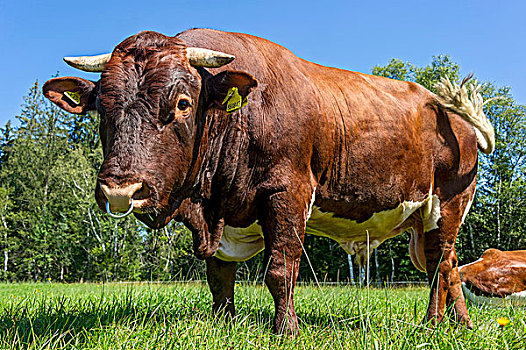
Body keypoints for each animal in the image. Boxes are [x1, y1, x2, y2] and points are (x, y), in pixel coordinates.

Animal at [43, 28, 498, 332]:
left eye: (183, 103)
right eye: (101, 107)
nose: (120, 190)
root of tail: (450, 114)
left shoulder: (287, 193)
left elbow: (280, 270)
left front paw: (287, 331)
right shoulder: (219, 214)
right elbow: (219, 277)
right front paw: (223, 325)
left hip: (447, 204)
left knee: (439, 264)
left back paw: (440, 324)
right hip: (425, 219)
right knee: (448, 265)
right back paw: (452, 325)